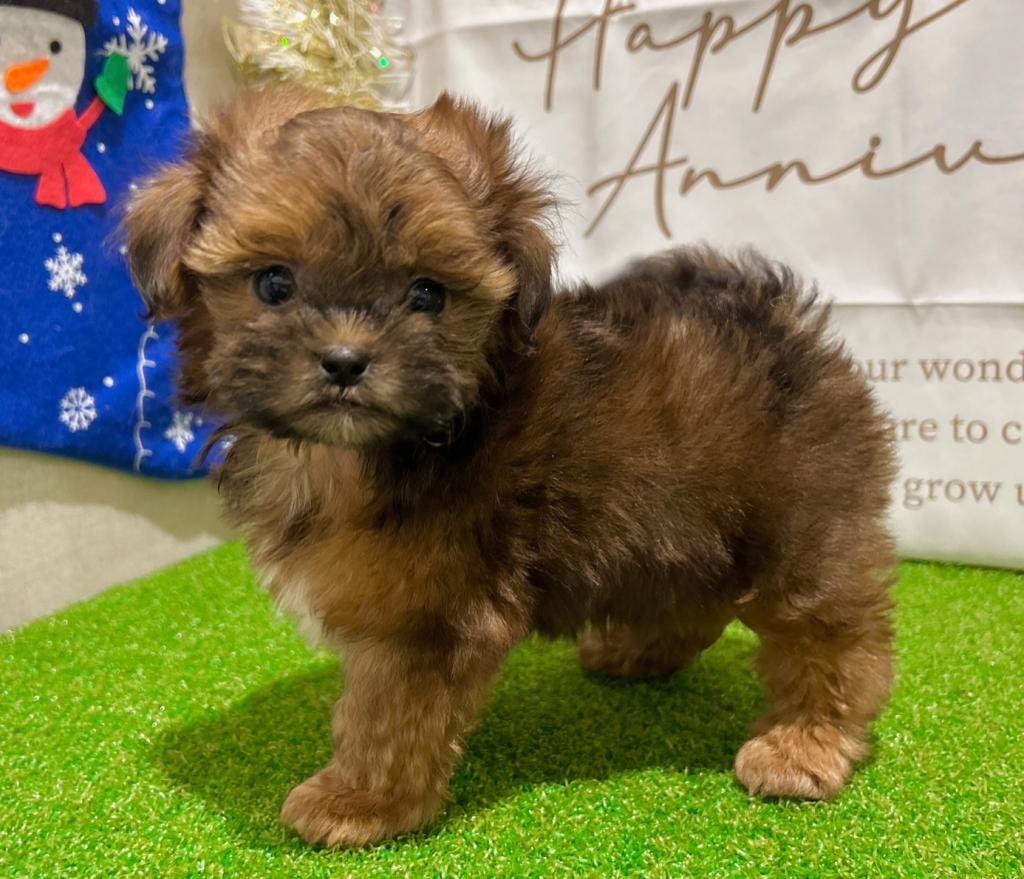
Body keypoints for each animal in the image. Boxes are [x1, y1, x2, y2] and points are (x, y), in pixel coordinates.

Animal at [124, 87, 896, 848]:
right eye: (274, 284)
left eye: (427, 294)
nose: (345, 360)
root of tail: (789, 324)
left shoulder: (425, 612)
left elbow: (388, 712)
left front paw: (361, 800)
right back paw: (638, 651)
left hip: (798, 524)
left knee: (831, 640)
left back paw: (805, 741)